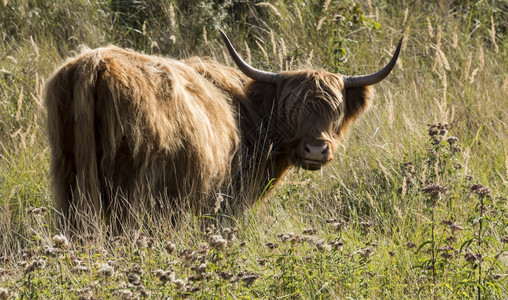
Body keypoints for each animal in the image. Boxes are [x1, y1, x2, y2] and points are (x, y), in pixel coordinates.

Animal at [44, 31, 400, 232]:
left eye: (335, 109)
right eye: (291, 108)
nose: (316, 150)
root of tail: (93, 63)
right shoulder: (225, 204)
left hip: (69, 186)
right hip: (130, 196)